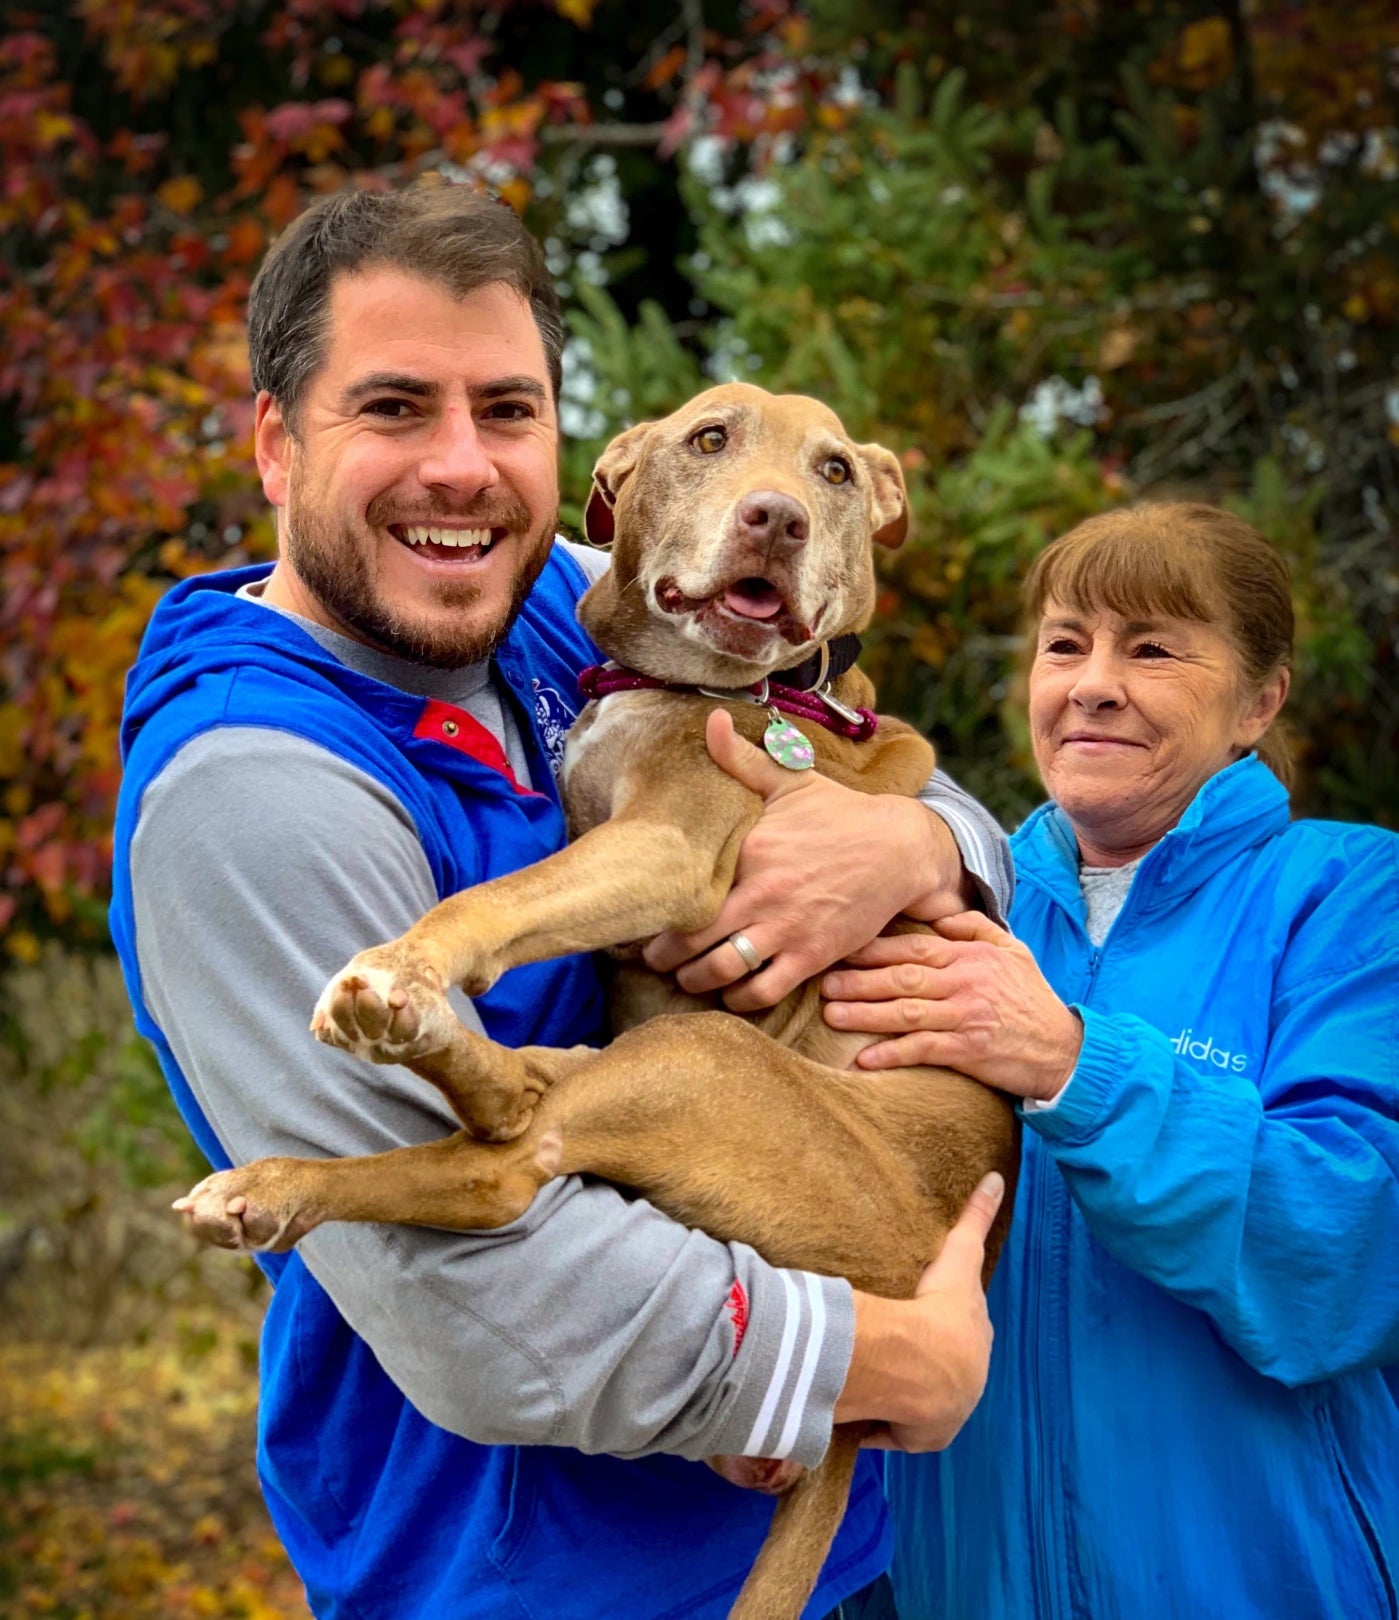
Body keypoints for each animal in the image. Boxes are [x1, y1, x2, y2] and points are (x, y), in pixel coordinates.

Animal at [177, 382, 1016, 1620]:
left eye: (833, 472)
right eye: (710, 439)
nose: (775, 519)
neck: (711, 688)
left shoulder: (665, 851)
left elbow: (494, 896)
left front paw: (410, 963)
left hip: (703, 1061)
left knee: (505, 1161)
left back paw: (337, 1102)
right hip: (669, 1070)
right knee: (519, 1112)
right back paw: (306, 1154)